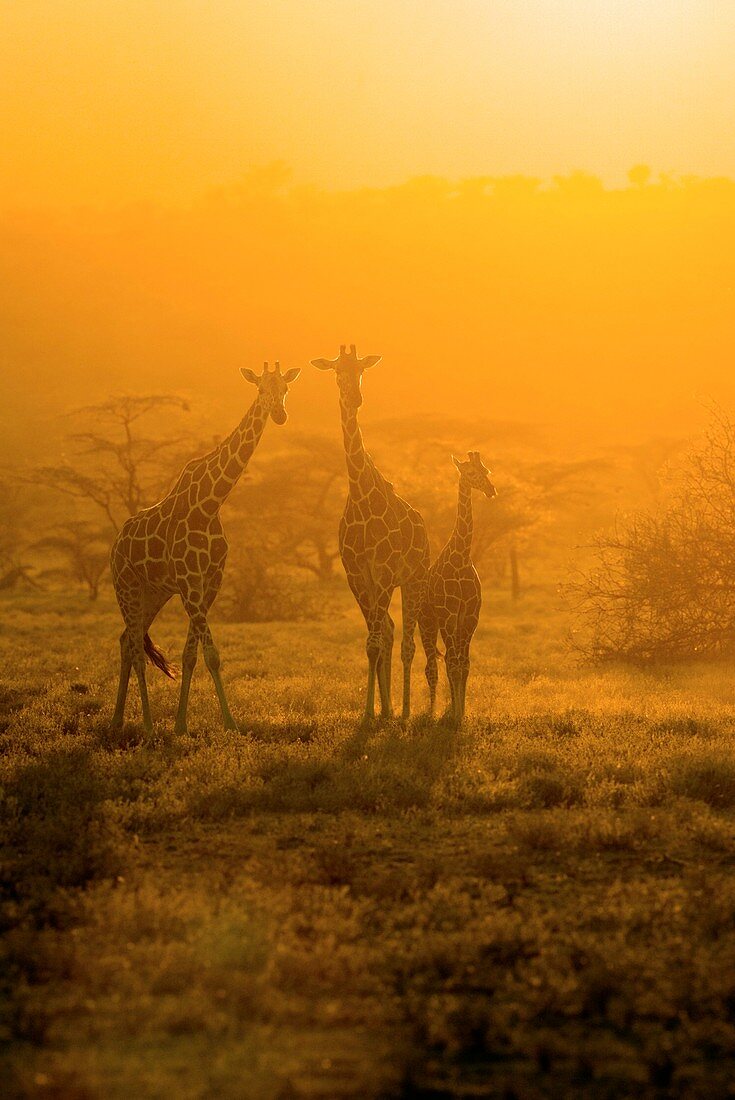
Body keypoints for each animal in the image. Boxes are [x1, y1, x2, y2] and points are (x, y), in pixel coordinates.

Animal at [108, 365, 299, 734]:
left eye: (285, 389)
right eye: (261, 390)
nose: (280, 415)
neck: (211, 502)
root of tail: (115, 545)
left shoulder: (208, 582)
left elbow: (191, 655)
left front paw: (182, 725)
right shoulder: (189, 583)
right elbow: (212, 655)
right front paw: (231, 723)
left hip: (153, 592)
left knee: (127, 640)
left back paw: (118, 721)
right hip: (126, 586)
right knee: (135, 648)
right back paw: (148, 726)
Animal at [310, 343, 431, 721]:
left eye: (362, 369)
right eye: (337, 371)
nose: (356, 398)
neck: (362, 498)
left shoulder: (385, 572)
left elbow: (377, 640)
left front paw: (375, 712)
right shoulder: (356, 574)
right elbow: (371, 641)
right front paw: (371, 713)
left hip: (415, 579)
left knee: (407, 642)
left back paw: (404, 711)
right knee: (389, 631)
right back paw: (390, 709)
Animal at [424, 451, 499, 726]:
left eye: (486, 470)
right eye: (470, 473)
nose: (491, 490)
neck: (462, 557)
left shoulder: (469, 616)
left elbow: (464, 664)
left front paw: (462, 712)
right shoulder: (447, 615)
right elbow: (453, 663)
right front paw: (454, 714)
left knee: (449, 659)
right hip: (428, 621)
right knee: (432, 664)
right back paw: (432, 712)